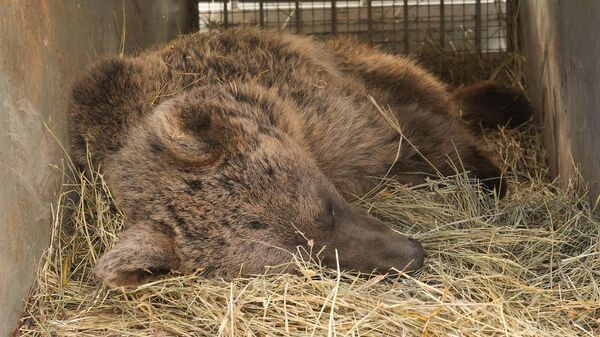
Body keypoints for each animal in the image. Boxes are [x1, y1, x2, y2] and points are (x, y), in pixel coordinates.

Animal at [68, 28, 532, 286]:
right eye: (306, 258)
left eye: (326, 207)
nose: (410, 257)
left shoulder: (338, 117)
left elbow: (417, 136)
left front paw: (488, 177)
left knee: (426, 85)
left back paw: (508, 101)